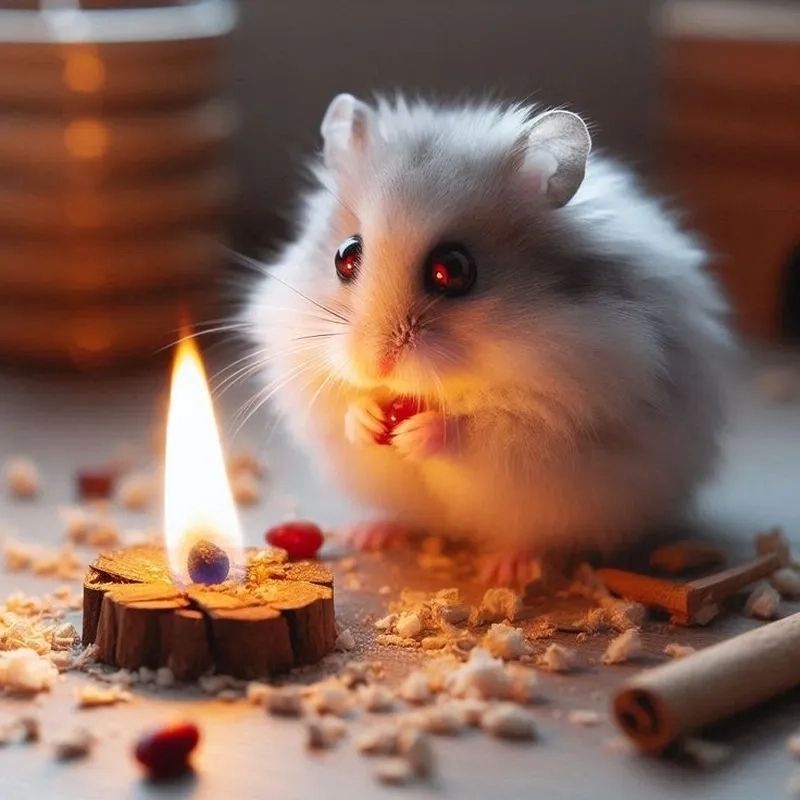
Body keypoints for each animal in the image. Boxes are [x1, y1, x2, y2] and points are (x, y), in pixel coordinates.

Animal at [245, 93, 731, 582]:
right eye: (344, 255)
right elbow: (343, 407)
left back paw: (505, 571)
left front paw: (417, 433)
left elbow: (478, 429)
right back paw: (370, 534)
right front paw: (367, 417)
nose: (376, 364)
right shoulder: (309, 379)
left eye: (454, 269)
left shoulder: (554, 420)